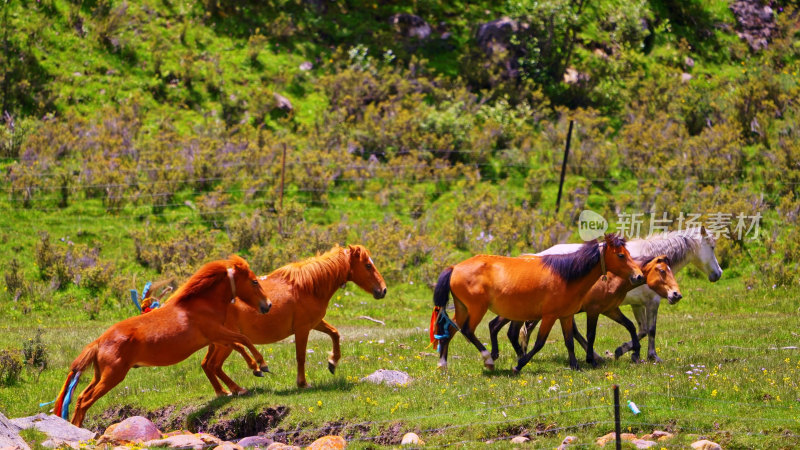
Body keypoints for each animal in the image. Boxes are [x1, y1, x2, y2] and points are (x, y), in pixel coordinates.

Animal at [54, 255, 272, 428]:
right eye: (254, 282)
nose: (268, 305)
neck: (201, 304)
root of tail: (99, 342)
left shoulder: (217, 337)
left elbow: (236, 346)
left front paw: (241, 382)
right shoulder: (217, 333)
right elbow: (243, 341)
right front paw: (259, 366)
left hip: (99, 376)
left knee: (80, 398)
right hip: (112, 377)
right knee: (85, 402)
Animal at [200, 244, 388, 392]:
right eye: (368, 265)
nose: (383, 290)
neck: (307, 286)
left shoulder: (315, 323)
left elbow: (335, 333)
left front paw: (332, 362)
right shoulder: (302, 329)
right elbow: (301, 356)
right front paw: (303, 383)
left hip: (216, 343)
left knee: (207, 365)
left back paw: (226, 391)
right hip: (224, 343)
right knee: (213, 365)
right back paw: (241, 384)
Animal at [432, 234, 644, 374]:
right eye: (621, 255)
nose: (639, 275)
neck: (566, 276)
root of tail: (455, 267)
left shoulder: (566, 316)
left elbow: (569, 341)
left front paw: (575, 365)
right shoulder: (549, 316)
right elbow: (540, 343)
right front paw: (519, 365)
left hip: (463, 309)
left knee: (450, 330)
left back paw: (443, 365)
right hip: (477, 309)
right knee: (468, 330)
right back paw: (488, 359)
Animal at [488, 255, 680, 368]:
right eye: (662, 271)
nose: (676, 295)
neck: (612, 278)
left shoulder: (610, 309)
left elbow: (631, 326)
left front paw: (633, 353)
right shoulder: (593, 311)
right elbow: (591, 334)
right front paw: (591, 360)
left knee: (506, 330)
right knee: (502, 328)